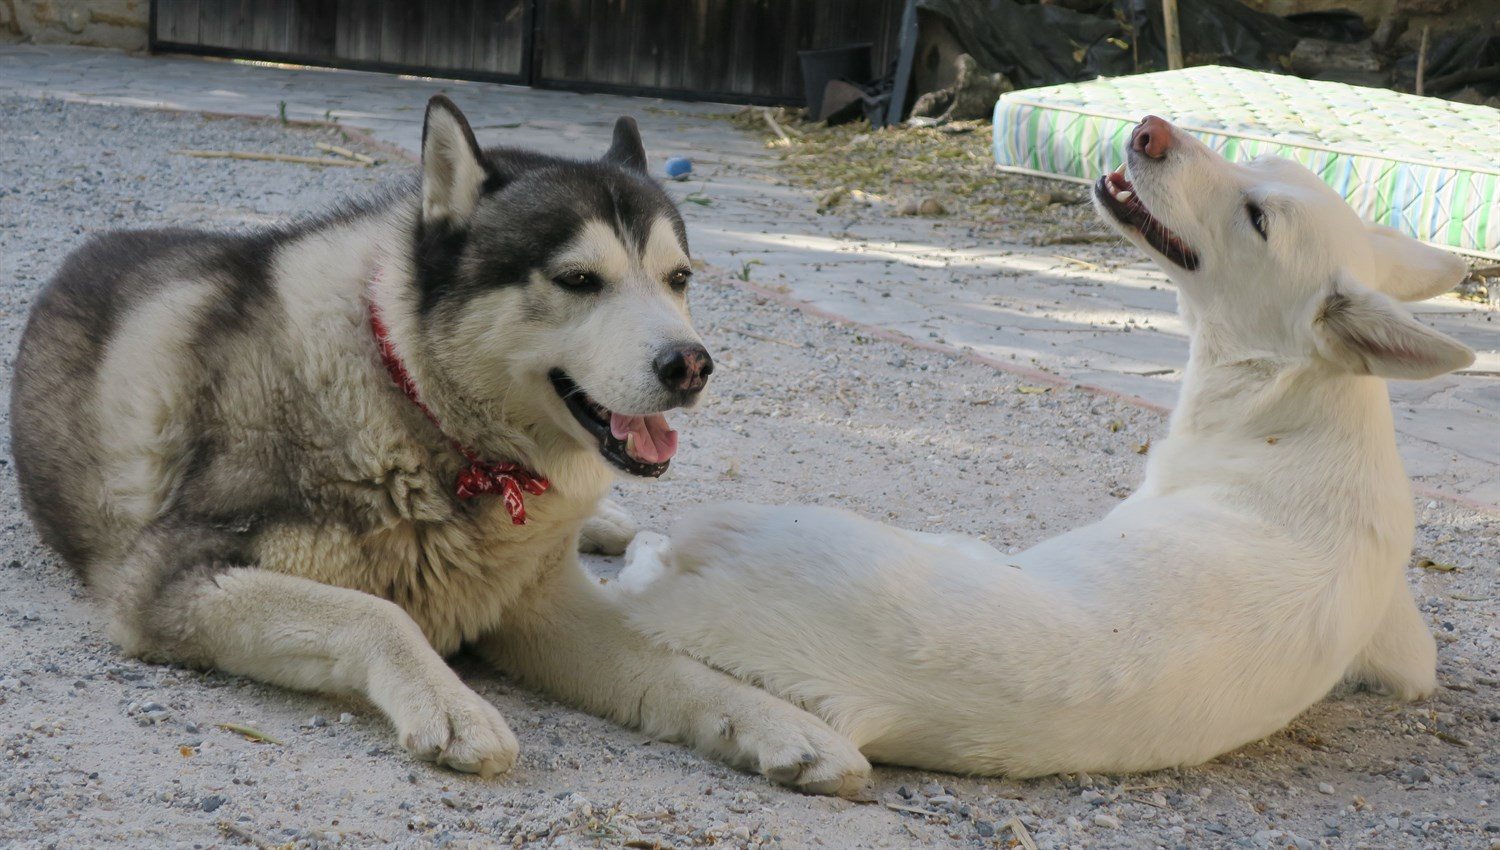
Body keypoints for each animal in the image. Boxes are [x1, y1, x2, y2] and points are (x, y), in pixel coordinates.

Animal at [618, 116, 1464, 773]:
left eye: (1258, 217)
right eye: (1264, 164)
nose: (1149, 129)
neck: (1293, 408)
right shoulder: (1405, 648)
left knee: (644, 562)